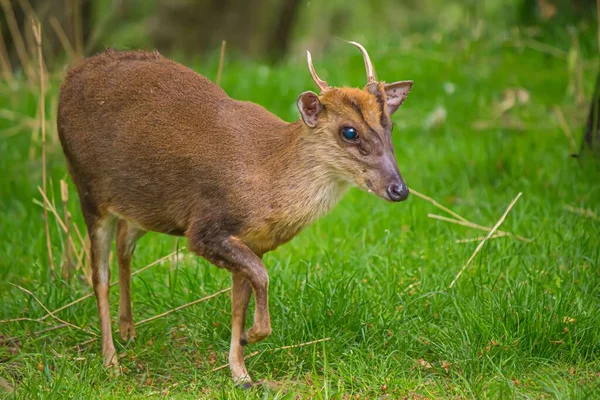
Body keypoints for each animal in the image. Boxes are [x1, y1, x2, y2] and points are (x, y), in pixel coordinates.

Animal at [56, 41, 412, 388]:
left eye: (390, 126)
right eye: (349, 132)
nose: (399, 189)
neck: (268, 173)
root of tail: (69, 78)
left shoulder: (253, 241)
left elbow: (240, 300)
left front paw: (241, 369)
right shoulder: (204, 230)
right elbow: (261, 277)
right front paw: (252, 338)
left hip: (144, 205)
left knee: (124, 244)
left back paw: (128, 330)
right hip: (87, 189)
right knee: (99, 276)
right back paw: (111, 361)